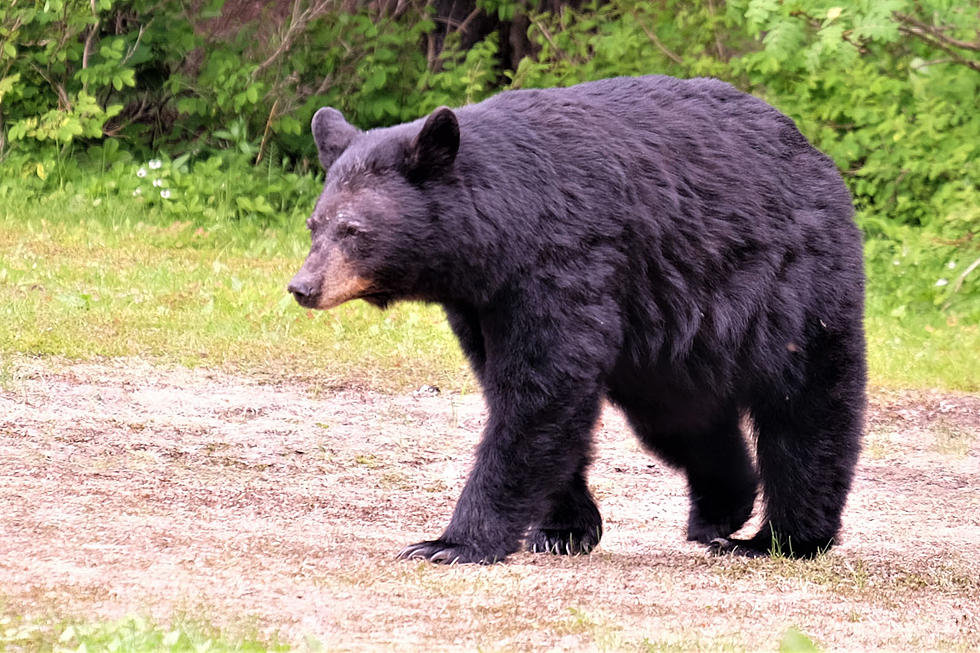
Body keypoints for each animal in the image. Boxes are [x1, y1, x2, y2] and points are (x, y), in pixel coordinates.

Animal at [290, 76, 864, 564]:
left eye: (354, 230)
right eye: (314, 224)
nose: (303, 287)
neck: (502, 232)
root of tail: (814, 153)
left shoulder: (563, 262)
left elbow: (542, 389)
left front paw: (450, 543)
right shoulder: (483, 302)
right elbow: (519, 391)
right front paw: (564, 530)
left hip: (792, 287)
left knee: (807, 407)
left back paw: (783, 538)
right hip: (668, 341)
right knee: (682, 418)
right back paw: (720, 510)